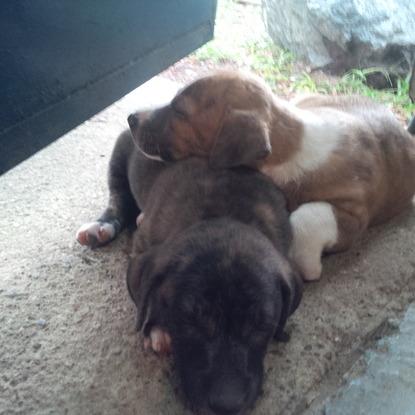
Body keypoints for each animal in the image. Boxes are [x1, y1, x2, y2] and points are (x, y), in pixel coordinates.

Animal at [75, 127, 302, 415]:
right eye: (189, 320)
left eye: (262, 324)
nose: (227, 405)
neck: (223, 214)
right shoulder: (143, 246)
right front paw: (158, 327)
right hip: (119, 155)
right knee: (118, 199)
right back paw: (101, 227)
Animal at [130, 70, 415, 282]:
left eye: (179, 111)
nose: (131, 117)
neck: (288, 148)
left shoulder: (354, 213)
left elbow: (306, 217)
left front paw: (305, 263)